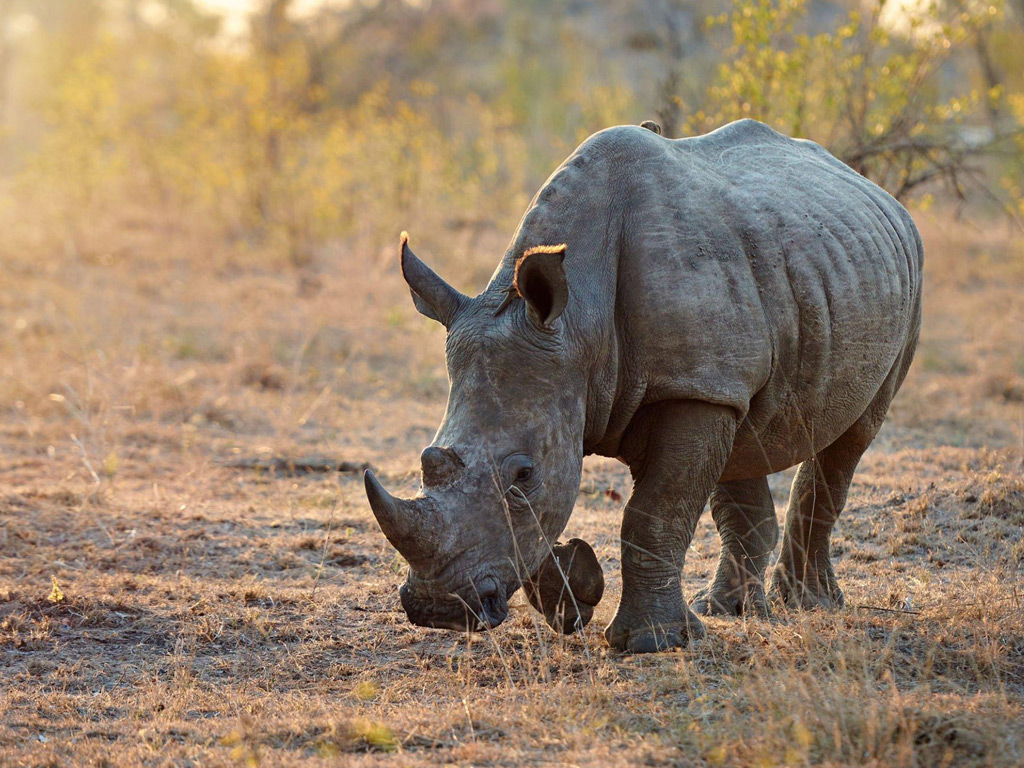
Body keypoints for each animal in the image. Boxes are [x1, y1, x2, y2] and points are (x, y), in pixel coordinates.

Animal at [364, 118, 923, 653]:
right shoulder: (638, 381)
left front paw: (651, 642)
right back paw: (729, 611)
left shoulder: (689, 387)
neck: (577, 323)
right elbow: (556, 516)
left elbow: (653, 514)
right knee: (745, 437)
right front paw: (574, 591)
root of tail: (877, 192)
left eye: (523, 475)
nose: (437, 609)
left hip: (902, 279)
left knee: (852, 436)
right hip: (780, 290)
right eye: (427, 462)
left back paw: (810, 604)